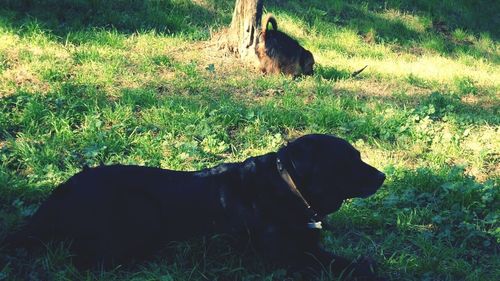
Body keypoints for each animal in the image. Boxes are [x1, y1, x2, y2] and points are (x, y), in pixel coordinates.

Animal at [4, 133, 386, 278]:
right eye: (350, 160)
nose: (383, 176)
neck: (289, 189)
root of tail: (57, 196)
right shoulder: (287, 256)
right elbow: (341, 263)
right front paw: (366, 267)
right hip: (143, 210)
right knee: (88, 261)